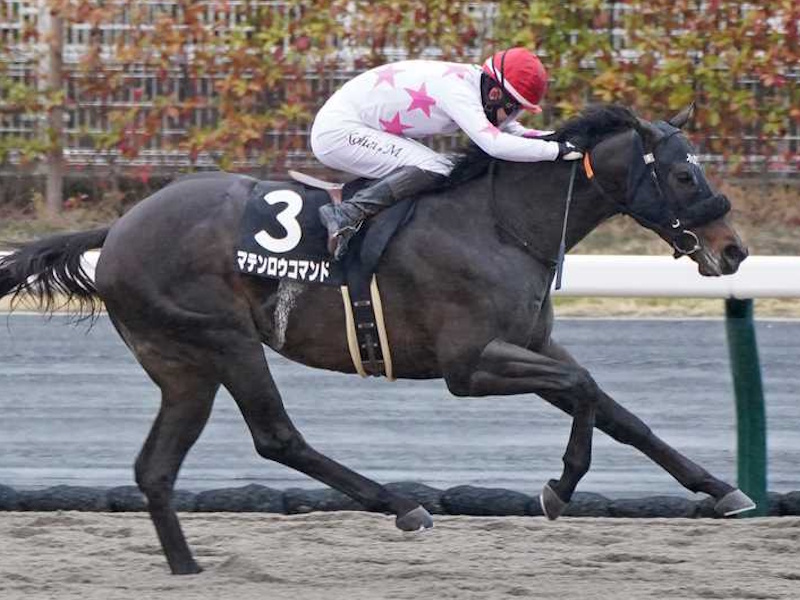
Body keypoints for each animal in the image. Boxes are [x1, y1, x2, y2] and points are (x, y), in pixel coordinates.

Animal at [0, 103, 753, 575]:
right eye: (683, 173)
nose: (735, 250)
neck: (502, 223)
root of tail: (118, 229)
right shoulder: (469, 366)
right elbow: (586, 388)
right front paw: (558, 487)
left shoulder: (532, 346)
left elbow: (618, 411)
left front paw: (720, 489)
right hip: (226, 340)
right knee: (277, 437)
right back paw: (405, 506)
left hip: (183, 367)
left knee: (155, 469)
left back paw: (188, 568)